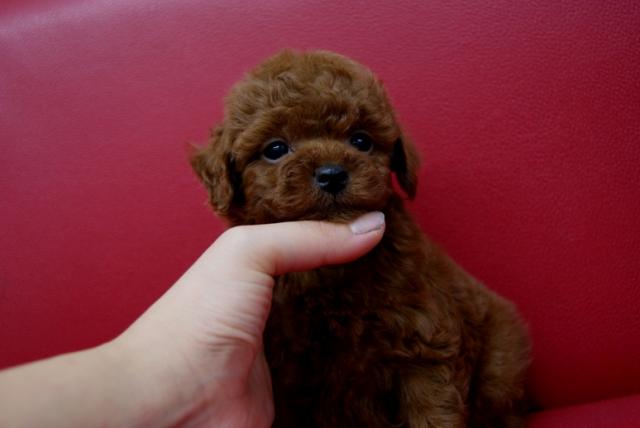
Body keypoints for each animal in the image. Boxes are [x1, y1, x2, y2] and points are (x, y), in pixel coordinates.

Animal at [191, 50, 530, 427]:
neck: (332, 275)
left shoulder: (423, 342)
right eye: (275, 149)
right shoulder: (288, 374)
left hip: (499, 361)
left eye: (361, 141)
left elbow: (432, 410)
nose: (332, 174)